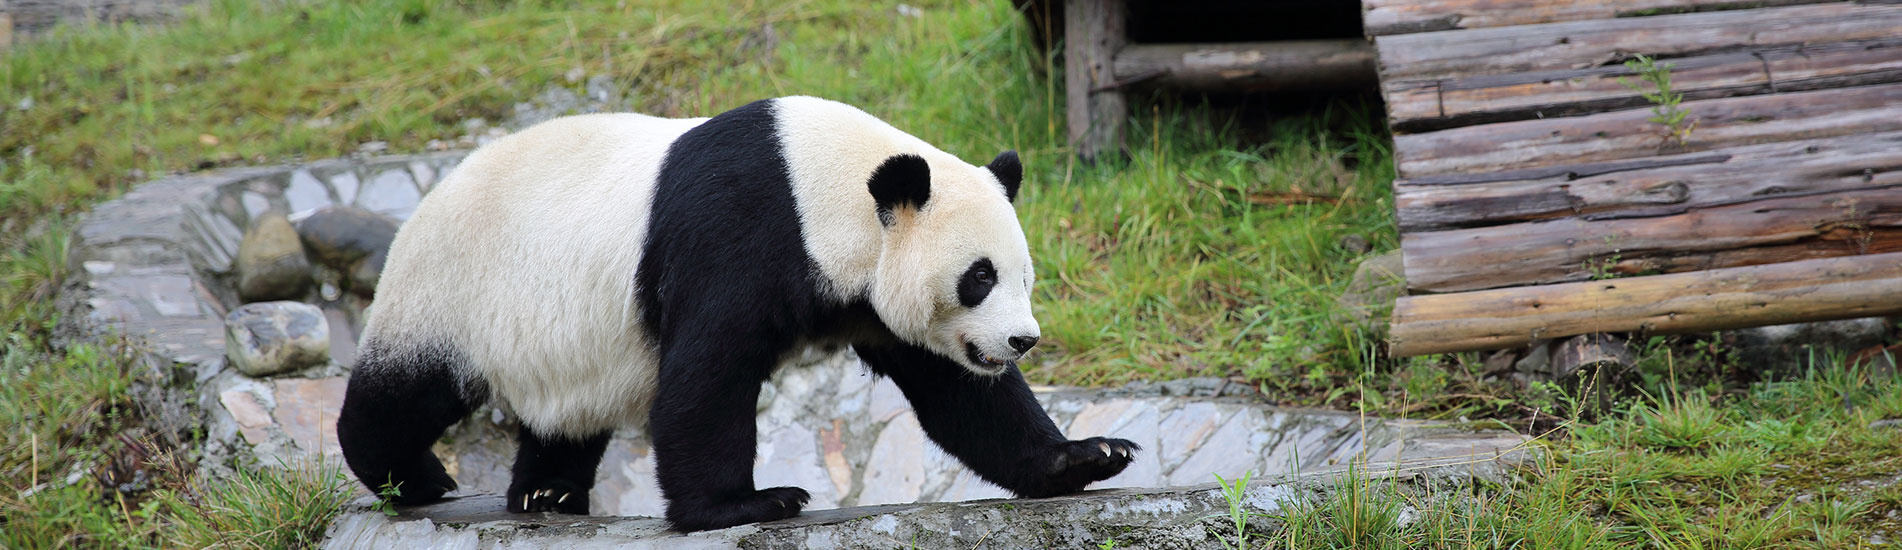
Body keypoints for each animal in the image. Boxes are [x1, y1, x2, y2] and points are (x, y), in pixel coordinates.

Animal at [334, 96, 1133, 529]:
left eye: (1025, 277)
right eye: (978, 278)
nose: (1021, 341)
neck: (824, 186)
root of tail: (427, 197)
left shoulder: (874, 297)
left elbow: (961, 396)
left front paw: (1089, 455)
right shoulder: (742, 232)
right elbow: (706, 379)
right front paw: (749, 503)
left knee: (565, 416)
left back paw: (546, 492)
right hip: (452, 287)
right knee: (404, 391)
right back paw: (414, 479)